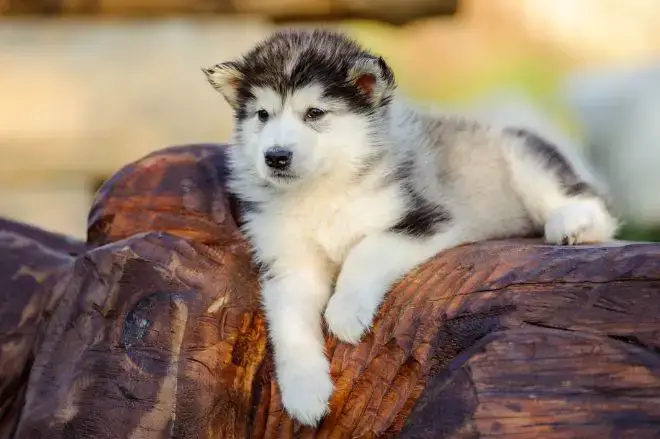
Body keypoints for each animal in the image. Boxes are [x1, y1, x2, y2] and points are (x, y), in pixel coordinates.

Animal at [202, 28, 620, 426]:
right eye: (262, 115)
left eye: (315, 113)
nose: (275, 157)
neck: (320, 191)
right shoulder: (289, 263)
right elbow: (289, 326)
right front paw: (306, 393)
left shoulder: (424, 218)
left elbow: (365, 250)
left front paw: (345, 312)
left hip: (522, 155)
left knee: (592, 204)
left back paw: (572, 224)